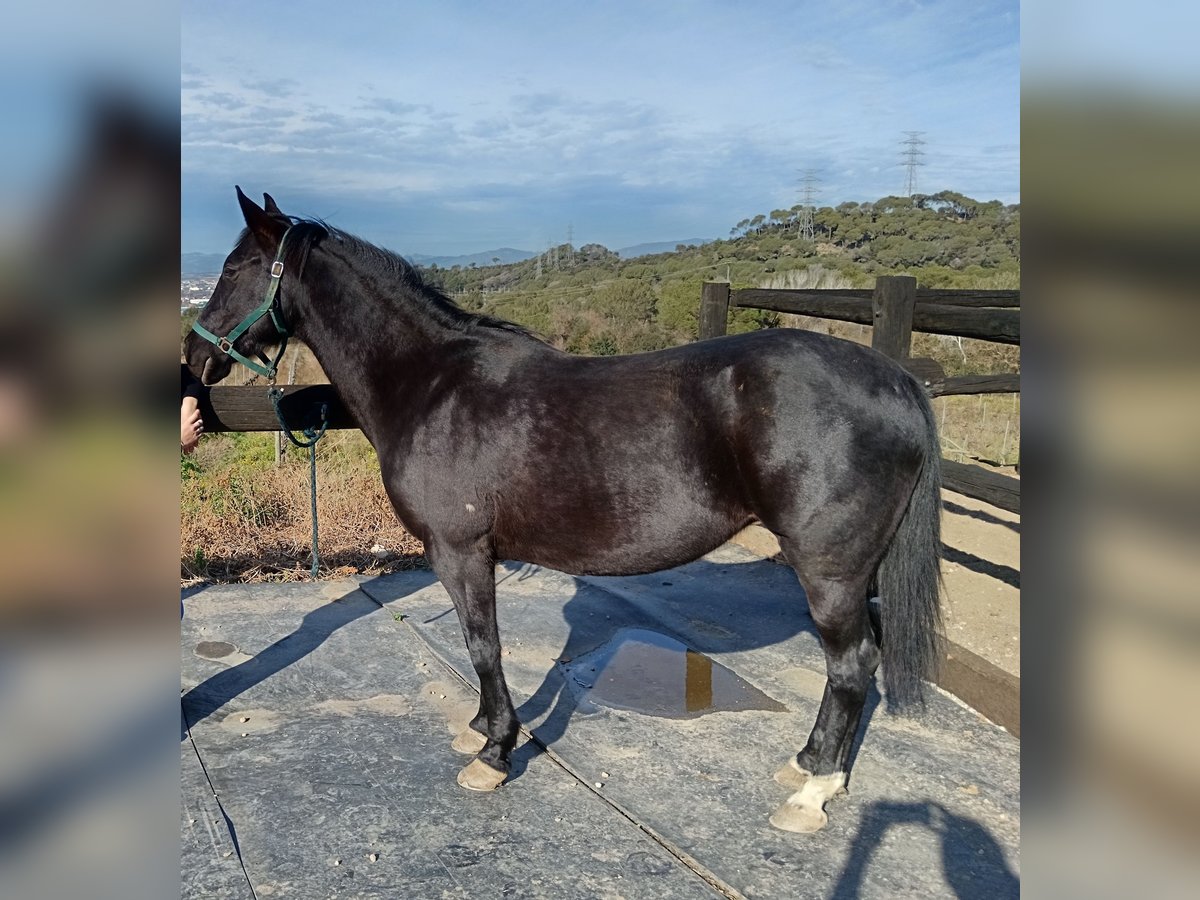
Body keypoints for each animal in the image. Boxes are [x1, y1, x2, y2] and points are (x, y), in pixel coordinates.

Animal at [185, 188, 943, 834]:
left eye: (232, 268)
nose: (195, 354)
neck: (432, 385)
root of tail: (899, 381)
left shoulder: (461, 552)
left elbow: (483, 645)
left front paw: (493, 753)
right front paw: (482, 728)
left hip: (830, 571)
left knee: (852, 665)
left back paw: (812, 794)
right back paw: (809, 764)